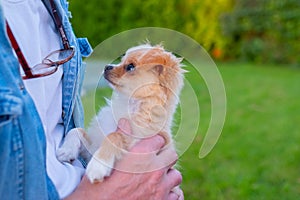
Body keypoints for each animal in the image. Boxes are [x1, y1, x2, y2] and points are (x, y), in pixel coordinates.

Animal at [57, 43, 185, 184]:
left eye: (130, 67)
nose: (107, 66)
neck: (128, 104)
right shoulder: (91, 148)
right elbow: (76, 130)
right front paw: (66, 150)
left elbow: (114, 135)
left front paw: (98, 165)